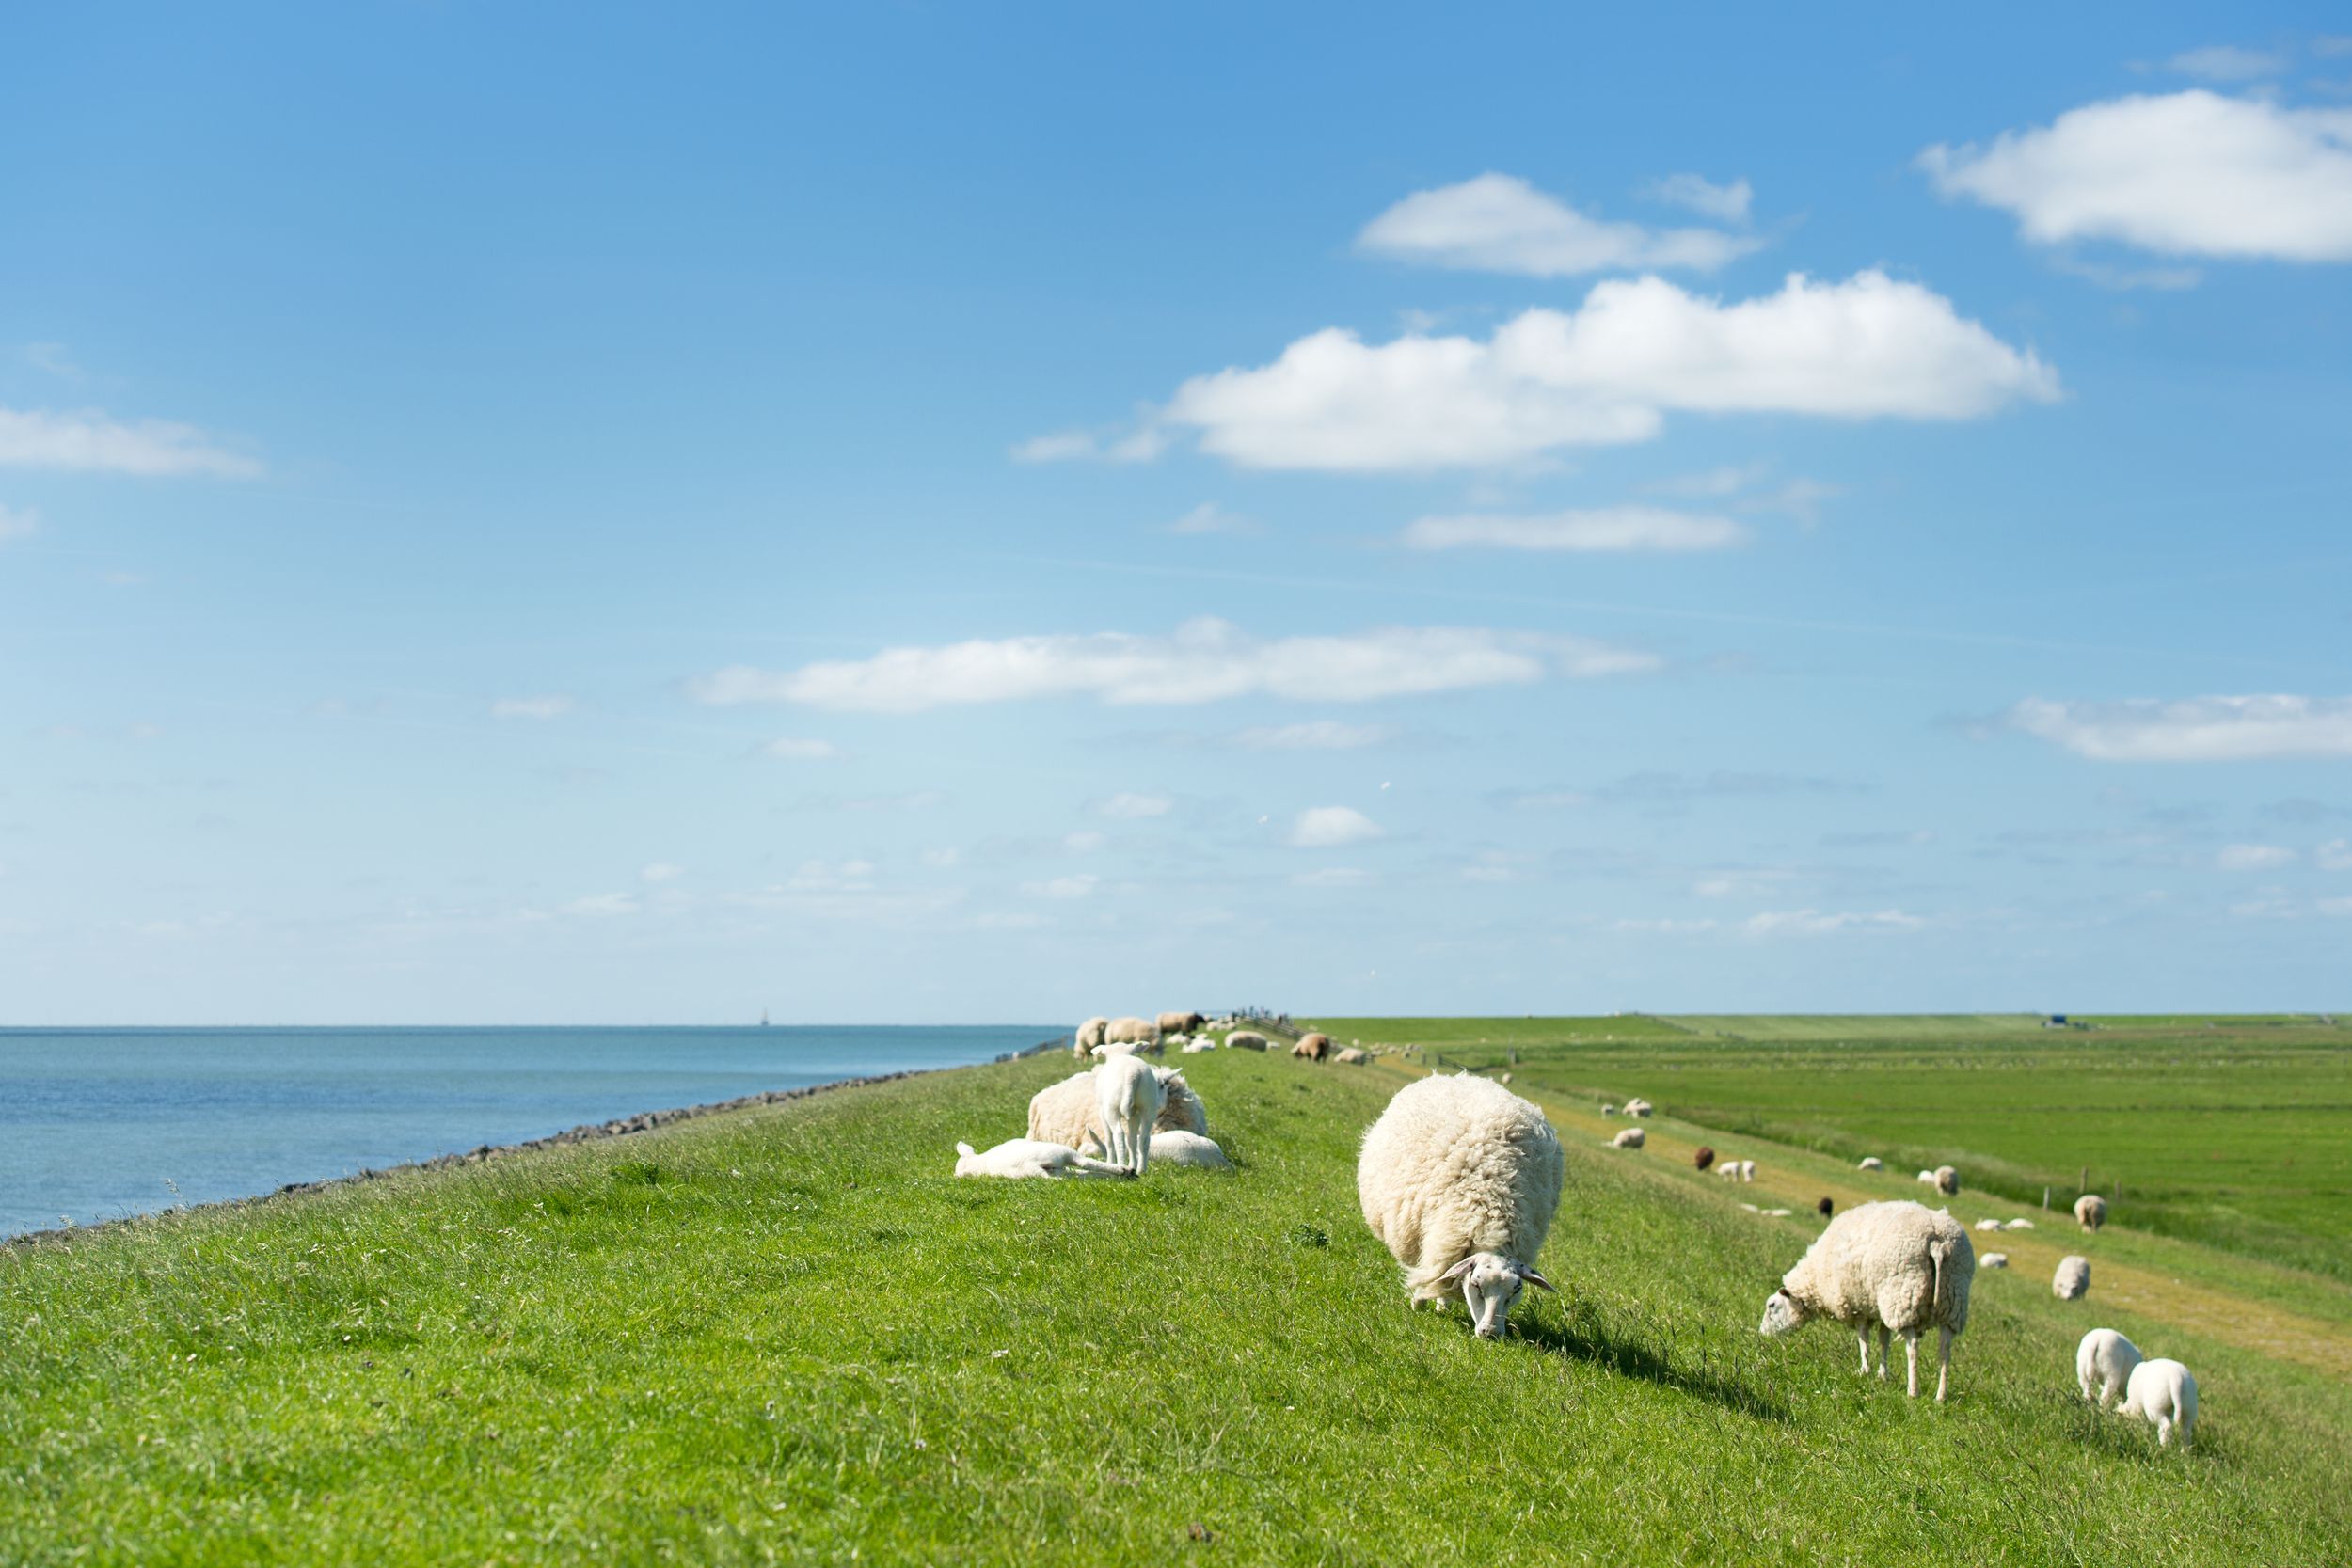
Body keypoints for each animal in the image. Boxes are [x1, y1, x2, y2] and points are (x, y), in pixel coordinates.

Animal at [1357, 1073, 1563, 1341]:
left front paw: (1439, 1306)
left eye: (1516, 1290)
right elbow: (1427, 1275)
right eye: (1476, 1284)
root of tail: (1466, 1076)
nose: (1490, 1333)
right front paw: (1418, 1304)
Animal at [1758, 1200, 1974, 1400]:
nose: (1762, 1335)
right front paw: (1882, 1374)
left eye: (1772, 1306)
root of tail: (1937, 1239)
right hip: (1952, 1298)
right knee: (1945, 1349)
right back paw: (1941, 1396)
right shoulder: (1878, 1304)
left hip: (1903, 1293)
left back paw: (1913, 1391)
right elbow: (1884, 1339)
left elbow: (1863, 1338)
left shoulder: (1857, 1306)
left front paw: (1864, 1370)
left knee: (1912, 1345)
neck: (1816, 1278)